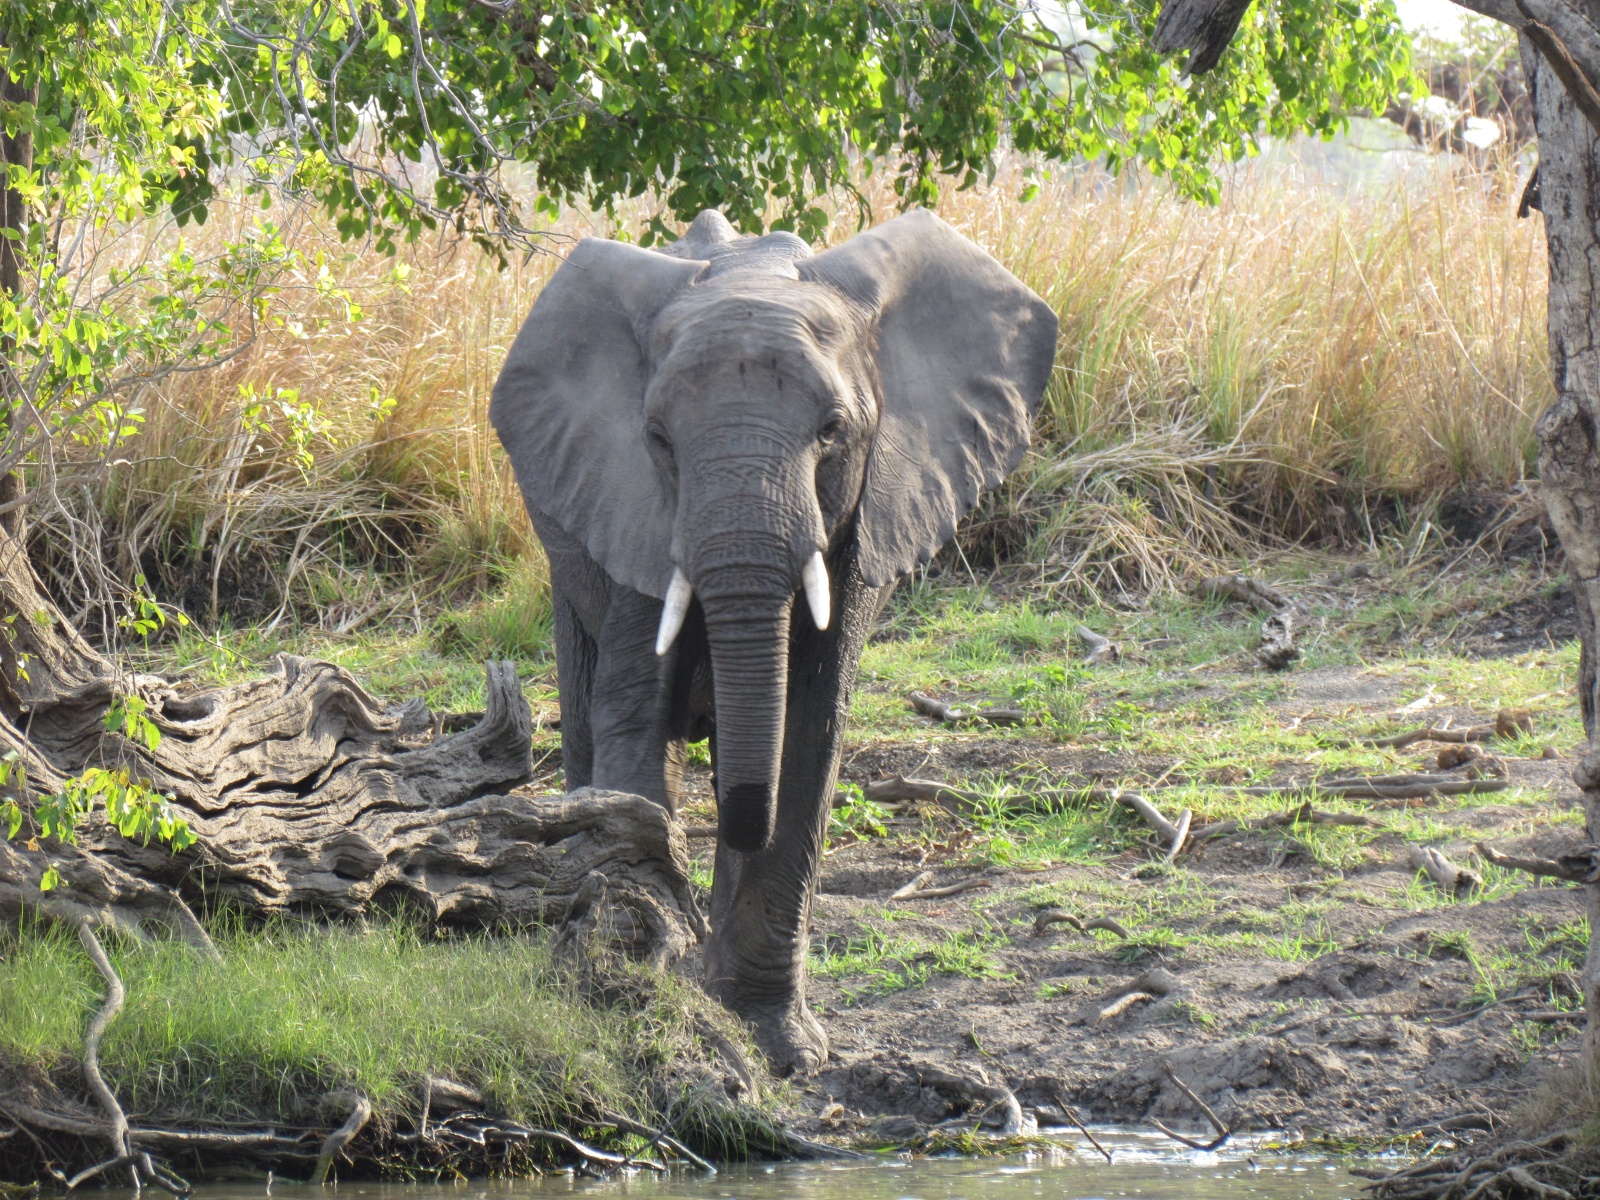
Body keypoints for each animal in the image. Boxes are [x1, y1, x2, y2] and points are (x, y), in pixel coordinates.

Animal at [490, 207, 1057, 1073]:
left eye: (832, 432)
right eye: (657, 438)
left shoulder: (864, 521)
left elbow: (807, 731)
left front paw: (774, 1045)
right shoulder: (628, 502)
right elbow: (639, 716)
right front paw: (645, 986)